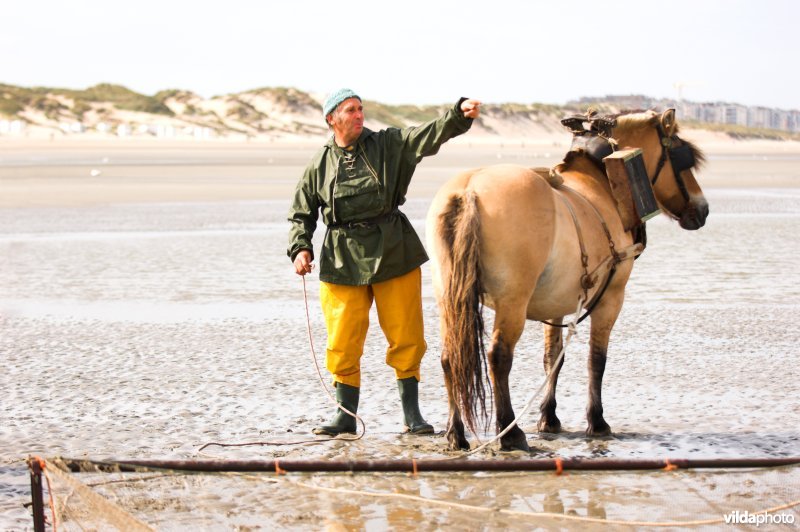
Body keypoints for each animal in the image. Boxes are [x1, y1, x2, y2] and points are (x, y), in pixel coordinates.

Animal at [426, 109, 708, 451]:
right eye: (682, 157)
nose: (703, 209)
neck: (603, 183)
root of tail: (470, 190)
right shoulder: (612, 298)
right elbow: (596, 360)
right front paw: (597, 421)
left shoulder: (555, 305)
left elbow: (552, 360)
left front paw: (549, 417)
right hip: (513, 302)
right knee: (499, 356)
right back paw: (509, 431)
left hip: (449, 296)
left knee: (450, 355)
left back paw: (456, 432)